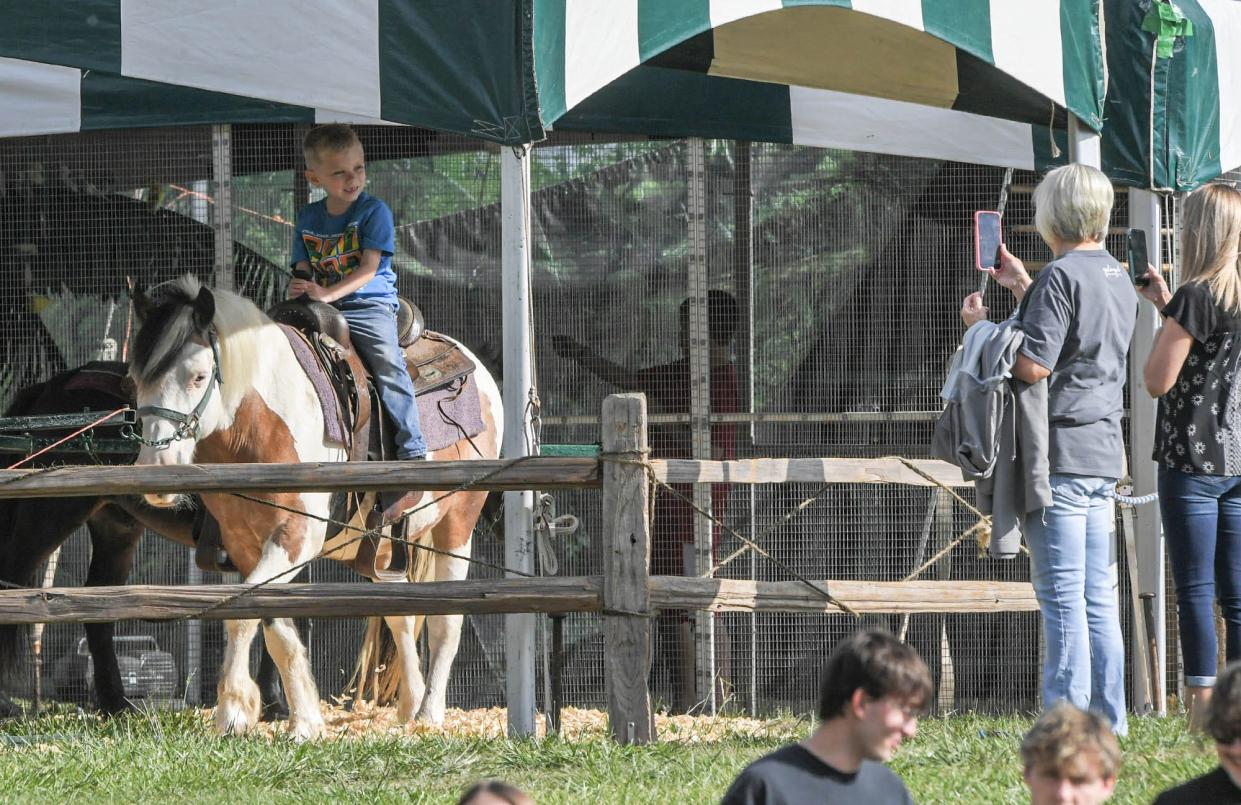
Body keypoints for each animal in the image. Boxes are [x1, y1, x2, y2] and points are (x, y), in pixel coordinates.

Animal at [132, 272, 503, 739]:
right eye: (137, 378)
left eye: (199, 377)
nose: (156, 468)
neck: (261, 423)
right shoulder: (246, 545)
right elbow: (275, 626)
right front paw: (295, 718)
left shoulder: (296, 538)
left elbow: (243, 615)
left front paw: (239, 712)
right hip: (382, 545)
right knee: (400, 615)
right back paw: (410, 705)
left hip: (458, 524)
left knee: (445, 623)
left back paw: (430, 713)